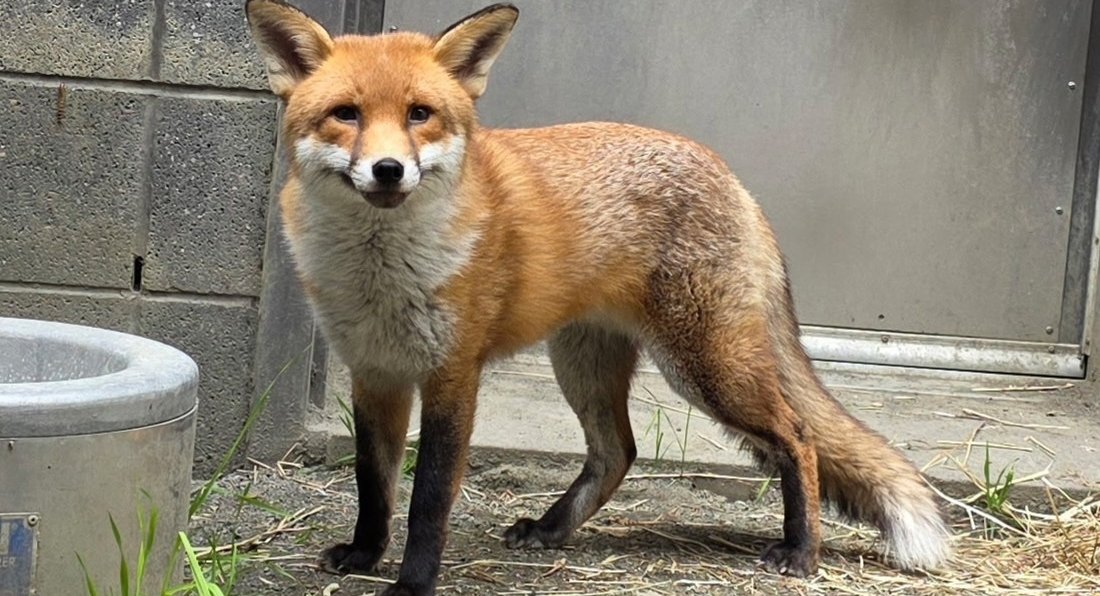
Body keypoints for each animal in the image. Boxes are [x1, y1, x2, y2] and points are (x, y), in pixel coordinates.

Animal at [244, 1, 951, 594]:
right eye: (347, 114)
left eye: (420, 114)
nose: (389, 170)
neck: (380, 275)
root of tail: (732, 176)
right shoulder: (375, 372)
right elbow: (374, 483)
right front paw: (366, 555)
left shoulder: (453, 376)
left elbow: (429, 502)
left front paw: (413, 584)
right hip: (584, 363)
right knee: (618, 452)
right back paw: (552, 529)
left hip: (706, 368)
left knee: (798, 438)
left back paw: (801, 551)